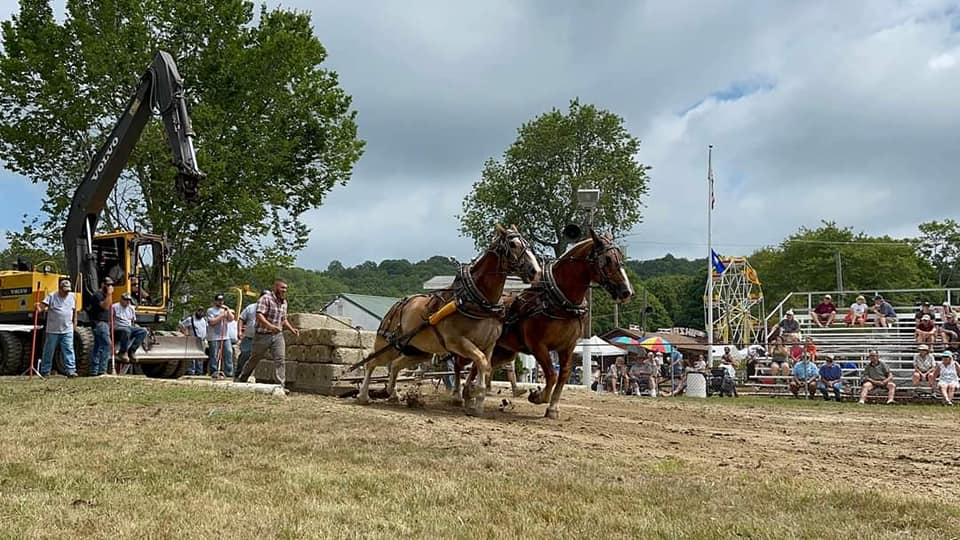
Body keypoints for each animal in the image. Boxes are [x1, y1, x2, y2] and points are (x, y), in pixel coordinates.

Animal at [358, 226, 540, 416]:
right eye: (512, 244)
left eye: (527, 243)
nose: (535, 271)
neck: (479, 301)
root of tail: (398, 304)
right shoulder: (457, 342)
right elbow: (481, 362)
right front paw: (473, 397)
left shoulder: (489, 345)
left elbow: (485, 366)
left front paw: (476, 401)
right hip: (389, 346)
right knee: (371, 362)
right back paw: (363, 396)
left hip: (417, 351)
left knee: (394, 365)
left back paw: (392, 394)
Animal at [462, 230, 632, 420]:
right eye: (607, 259)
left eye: (620, 257)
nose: (626, 291)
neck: (559, 302)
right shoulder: (538, 346)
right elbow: (551, 374)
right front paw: (538, 396)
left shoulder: (567, 347)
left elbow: (563, 375)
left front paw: (553, 408)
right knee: (473, 364)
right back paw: (467, 394)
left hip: (504, 351)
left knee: (483, 365)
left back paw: (472, 393)